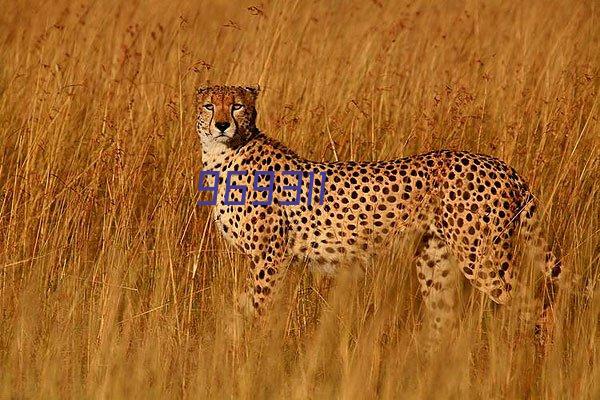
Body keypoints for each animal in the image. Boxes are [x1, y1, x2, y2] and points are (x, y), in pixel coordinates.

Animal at [196, 85, 564, 350]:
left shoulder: (271, 256)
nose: (222, 124)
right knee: (444, 321)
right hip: (433, 259)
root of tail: (501, 165)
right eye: (209, 105)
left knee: (537, 305)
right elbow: (240, 309)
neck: (225, 155)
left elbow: (256, 308)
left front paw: (251, 355)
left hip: (482, 256)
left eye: (237, 105)